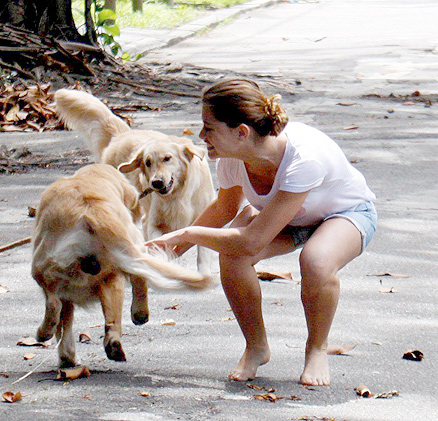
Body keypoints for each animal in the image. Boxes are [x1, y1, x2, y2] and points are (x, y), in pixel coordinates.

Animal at [30, 162, 209, 366]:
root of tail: (92, 209)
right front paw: (69, 359)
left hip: (41, 266)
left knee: (53, 302)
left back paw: (43, 332)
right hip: (120, 261)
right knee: (119, 310)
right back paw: (122, 336)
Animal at [54, 88, 216, 274]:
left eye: (167, 158)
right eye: (147, 162)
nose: (156, 183)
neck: (178, 195)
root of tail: (122, 133)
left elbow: (202, 253)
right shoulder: (154, 223)